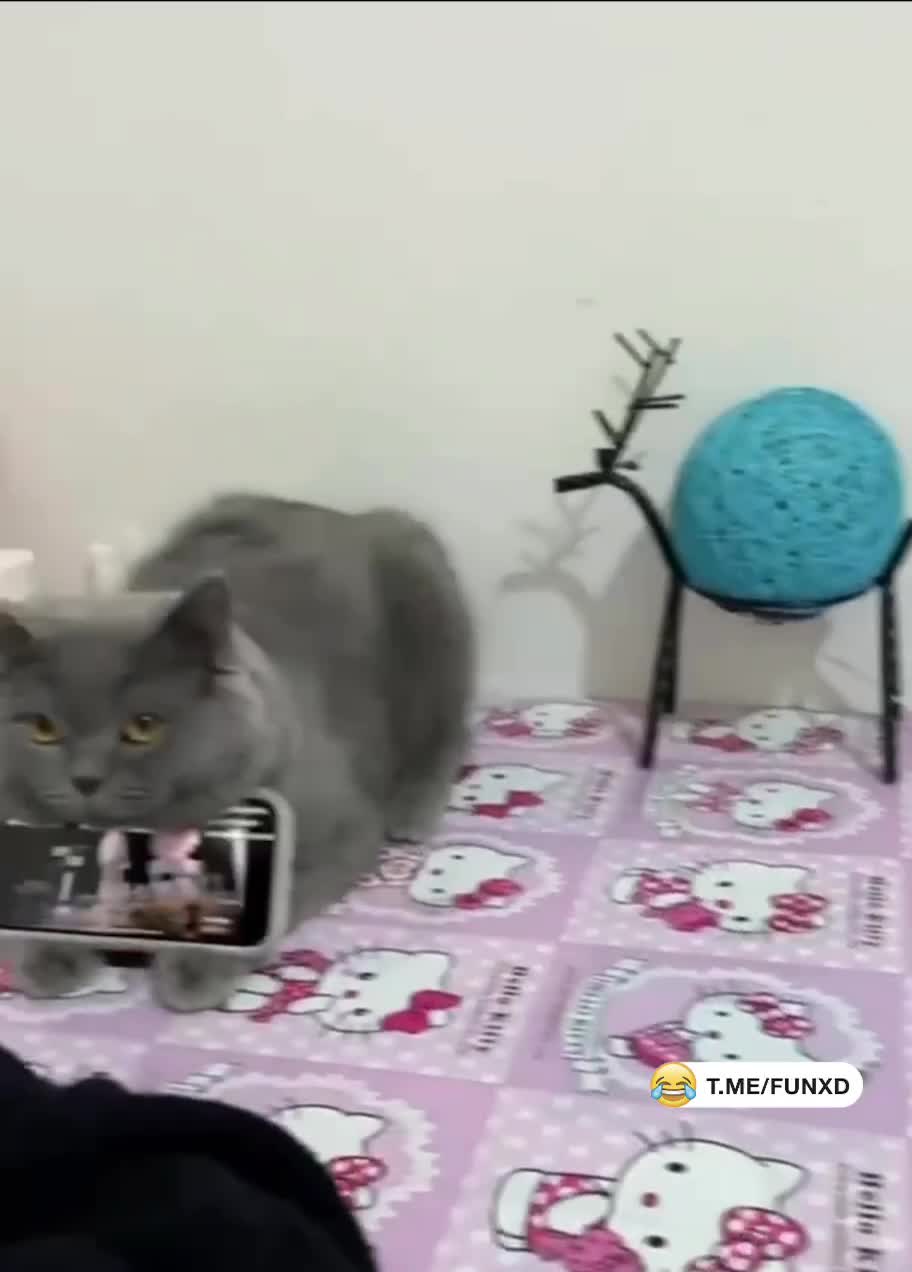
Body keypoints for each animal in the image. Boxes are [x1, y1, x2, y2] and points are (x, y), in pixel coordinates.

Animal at [0, 493, 474, 1010]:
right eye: (43, 728)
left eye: (143, 727)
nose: (85, 778)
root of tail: (330, 512)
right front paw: (48, 953)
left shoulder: (338, 831)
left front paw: (194, 967)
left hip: (425, 586)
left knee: (447, 729)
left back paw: (411, 810)